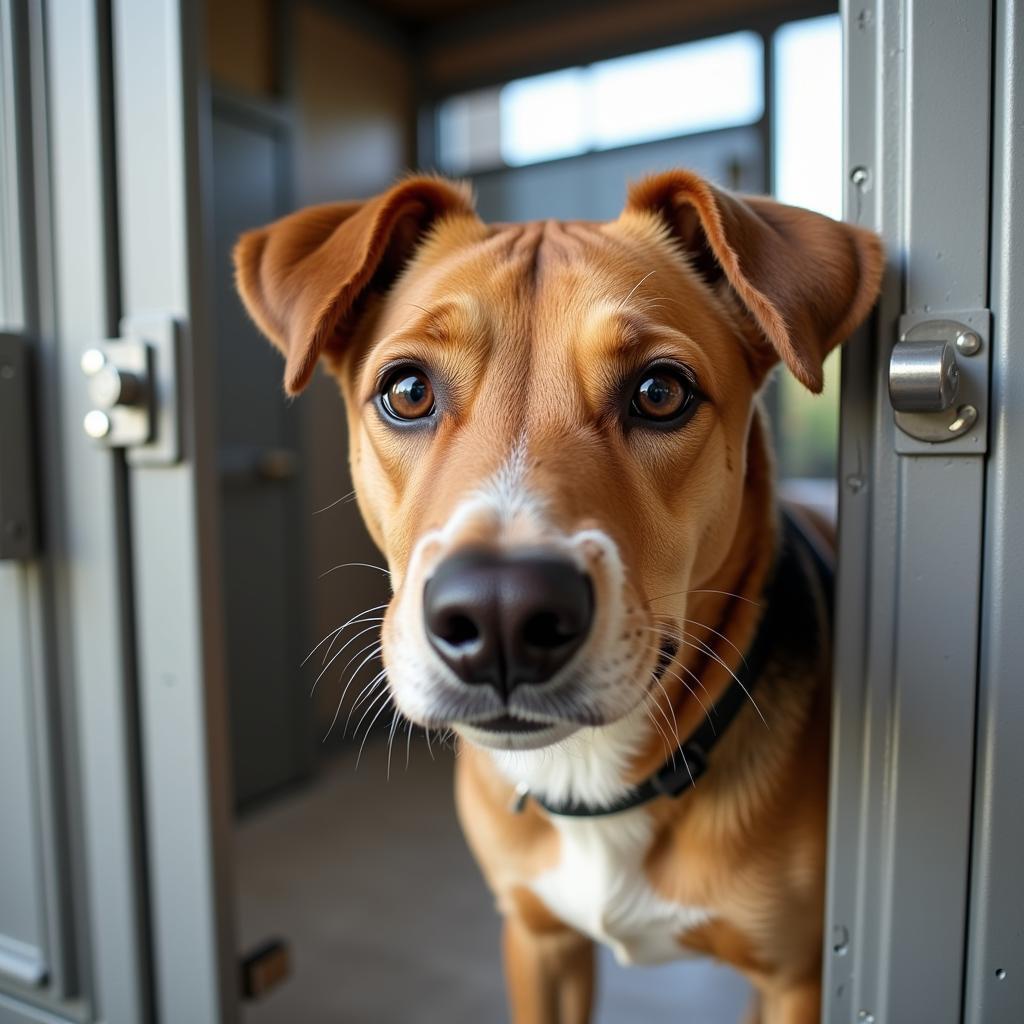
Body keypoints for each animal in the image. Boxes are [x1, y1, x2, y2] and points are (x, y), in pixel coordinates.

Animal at [232, 172, 880, 1019]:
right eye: (406, 391)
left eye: (660, 392)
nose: (501, 614)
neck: (591, 778)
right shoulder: (537, 941)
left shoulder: (797, 977)